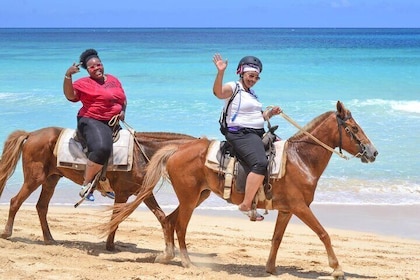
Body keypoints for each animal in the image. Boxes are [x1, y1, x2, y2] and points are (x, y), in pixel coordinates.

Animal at [0, 127, 196, 249]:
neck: (141, 153)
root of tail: (31, 134)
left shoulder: (143, 193)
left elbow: (162, 217)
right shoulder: (123, 194)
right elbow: (116, 218)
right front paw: (110, 246)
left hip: (50, 180)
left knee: (41, 207)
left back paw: (49, 239)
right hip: (34, 178)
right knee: (15, 201)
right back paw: (7, 233)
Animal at [104, 100, 378, 278]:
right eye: (353, 129)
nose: (373, 152)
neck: (301, 158)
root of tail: (177, 149)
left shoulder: (287, 210)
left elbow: (277, 238)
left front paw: (271, 268)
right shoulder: (301, 207)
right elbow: (324, 234)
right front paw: (337, 268)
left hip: (198, 195)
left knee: (170, 220)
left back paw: (167, 256)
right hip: (190, 198)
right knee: (180, 226)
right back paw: (187, 262)